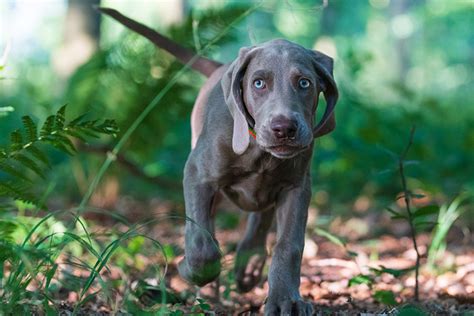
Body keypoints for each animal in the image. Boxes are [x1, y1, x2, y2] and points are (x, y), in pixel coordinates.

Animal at [99, 8, 336, 314]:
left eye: (305, 83)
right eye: (258, 83)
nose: (284, 128)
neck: (258, 151)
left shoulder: (296, 187)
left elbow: (289, 245)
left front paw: (286, 300)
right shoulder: (198, 175)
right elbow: (202, 245)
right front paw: (187, 269)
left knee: (261, 214)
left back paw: (249, 264)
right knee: (209, 227)